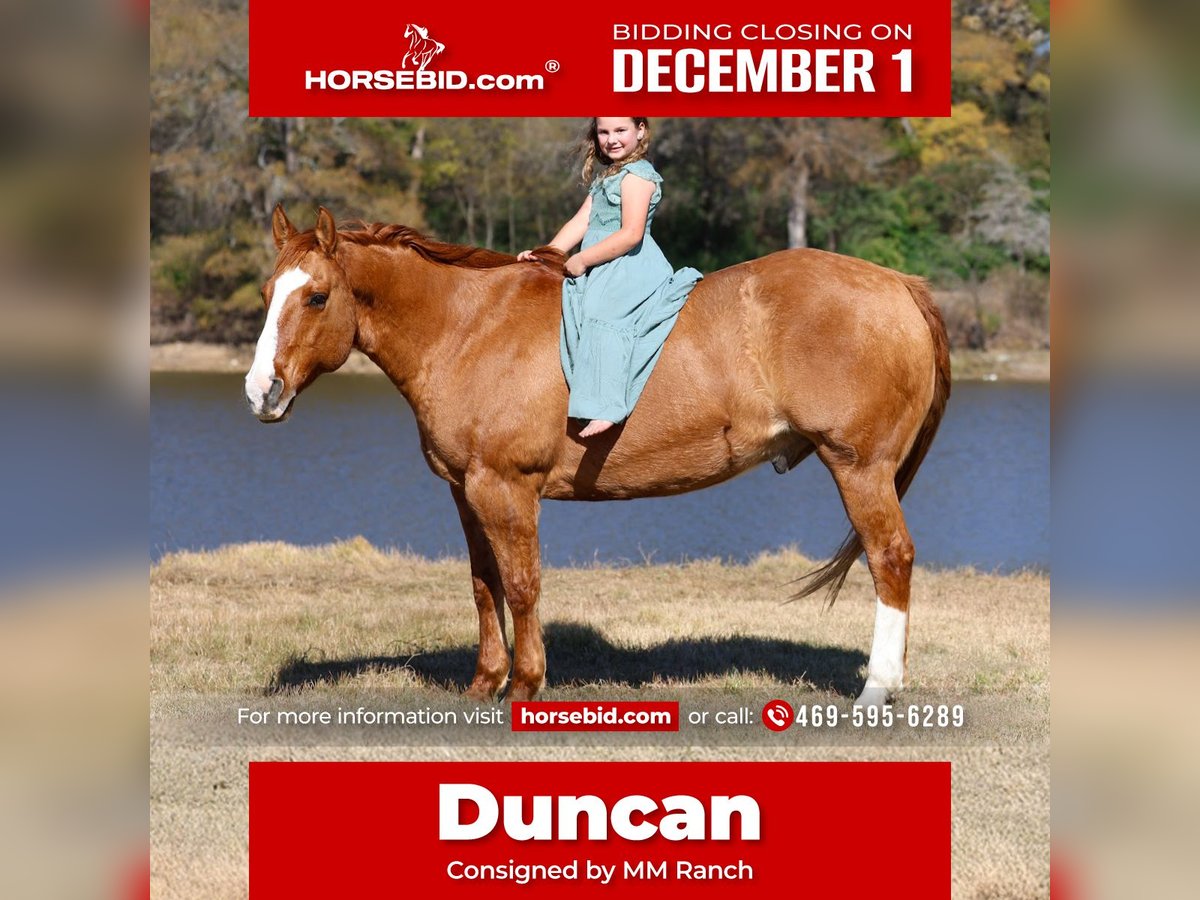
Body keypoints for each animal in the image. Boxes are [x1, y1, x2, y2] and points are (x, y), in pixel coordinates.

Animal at [245, 205, 951, 706]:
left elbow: (523, 585)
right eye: (265, 293)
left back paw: (877, 689)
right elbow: (483, 584)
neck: (471, 327)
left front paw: (525, 684)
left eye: (316, 297)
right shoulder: (465, 489)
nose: (260, 392)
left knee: (891, 559)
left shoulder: (505, 488)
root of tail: (898, 284)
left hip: (859, 469)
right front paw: (484, 682)